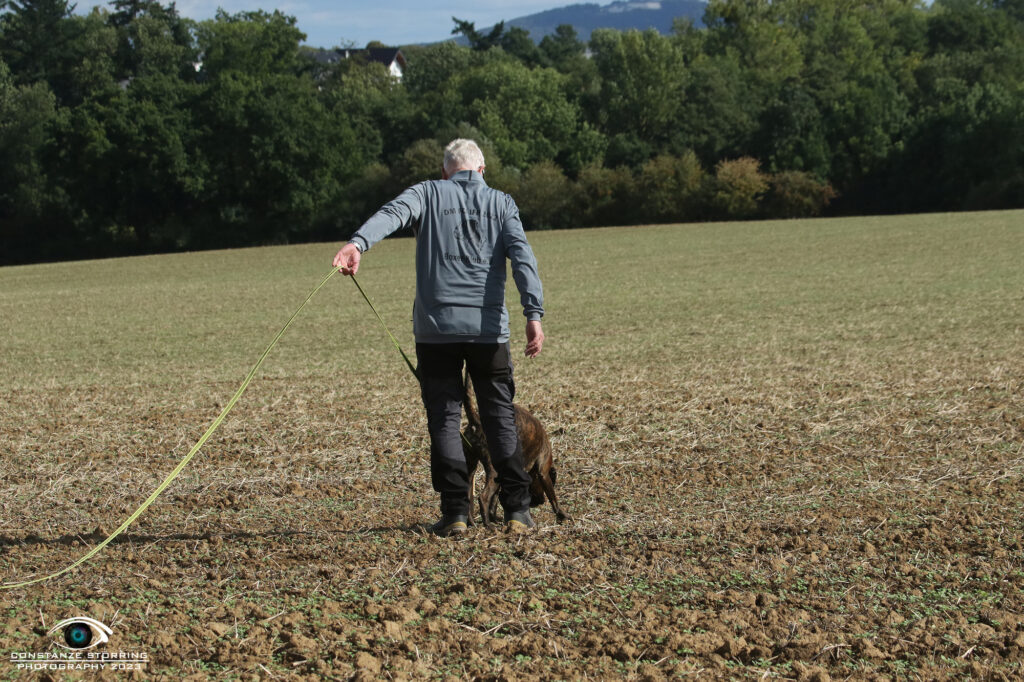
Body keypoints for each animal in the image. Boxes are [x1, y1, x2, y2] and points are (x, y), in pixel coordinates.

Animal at [462, 372, 573, 524]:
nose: (541, 501)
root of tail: (476, 422)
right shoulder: (543, 471)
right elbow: (553, 498)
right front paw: (562, 514)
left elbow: (495, 499)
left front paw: (495, 517)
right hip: (493, 470)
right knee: (483, 497)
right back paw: (488, 526)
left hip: (472, 466)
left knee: (469, 494)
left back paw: (473, 523)